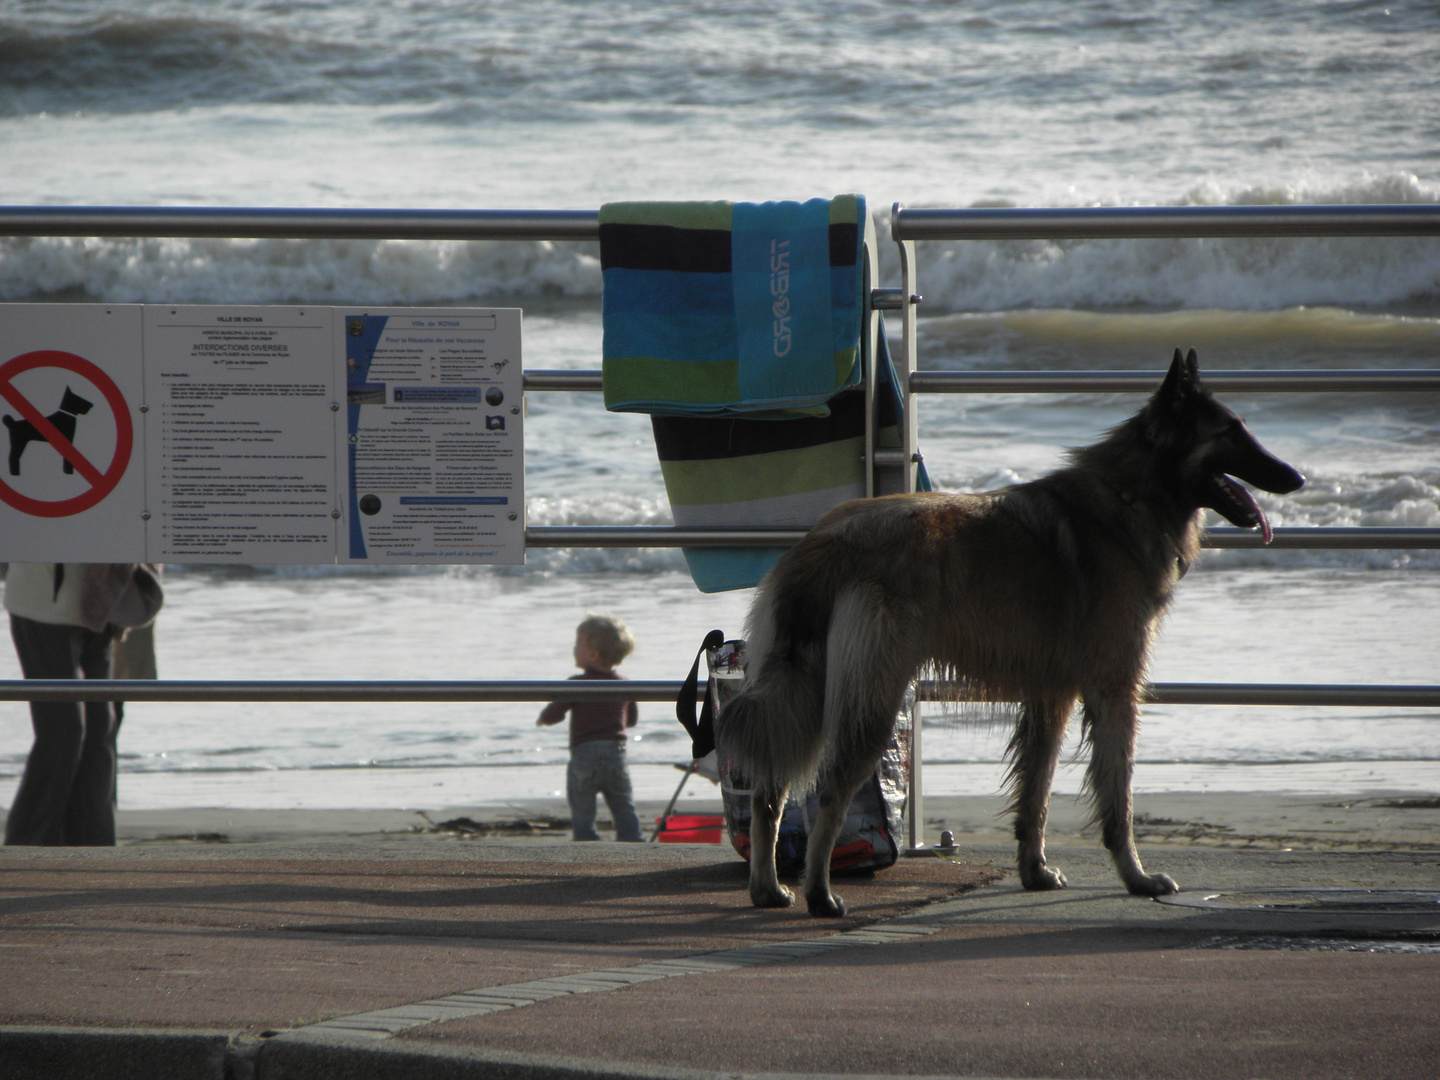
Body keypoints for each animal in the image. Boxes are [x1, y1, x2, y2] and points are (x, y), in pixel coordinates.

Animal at [720, 351, 1307, 915]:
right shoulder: (1114, 691)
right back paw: (820, 895)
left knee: (769, 791)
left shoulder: (1052, 696)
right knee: (828, 793)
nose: (1297, 479)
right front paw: (1137, 879)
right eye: (1231, 432)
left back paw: (768, 889)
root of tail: (825, 541)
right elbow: (1117, 798)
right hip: (871, 701)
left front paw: (1035, 871)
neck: (1129, 494)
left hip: (806, 691)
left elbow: (1036, 793)